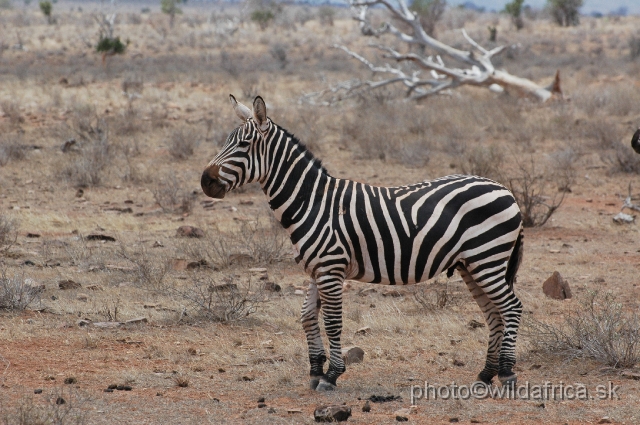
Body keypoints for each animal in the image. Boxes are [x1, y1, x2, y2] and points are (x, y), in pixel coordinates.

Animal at [201, 96, 524, 390]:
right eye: (227, 142)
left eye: (243, 145)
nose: (205, 181)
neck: (312, 203)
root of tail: (505, 190)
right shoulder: (317, 269)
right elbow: (307, 317)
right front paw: (315, 371)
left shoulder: (330, 268)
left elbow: (332, 322)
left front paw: (331, 375)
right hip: (472, 264)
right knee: (494, 313)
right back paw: (486, 374)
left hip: (487, 258)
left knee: (512, 307)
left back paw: (507, 372)